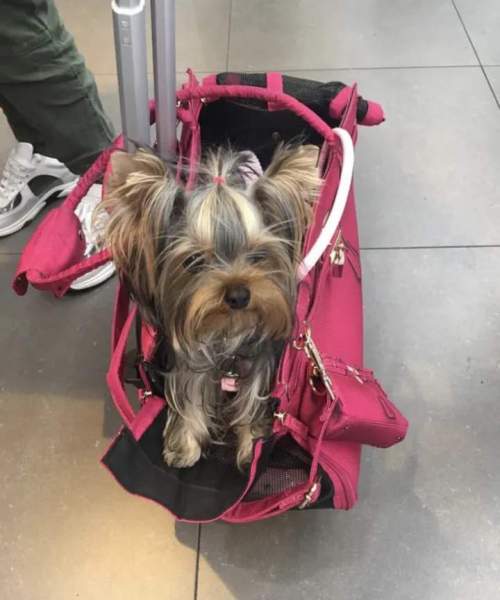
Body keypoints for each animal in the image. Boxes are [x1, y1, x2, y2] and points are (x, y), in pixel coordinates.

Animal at [102, 144, 320, 468]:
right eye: (193, 261)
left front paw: (251, 447)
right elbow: (189, 400)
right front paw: (184, 448)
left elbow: (252, 405)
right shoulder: (187, 367)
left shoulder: (261, 368)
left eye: (258, 256)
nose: (239, 295)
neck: (225, 331)